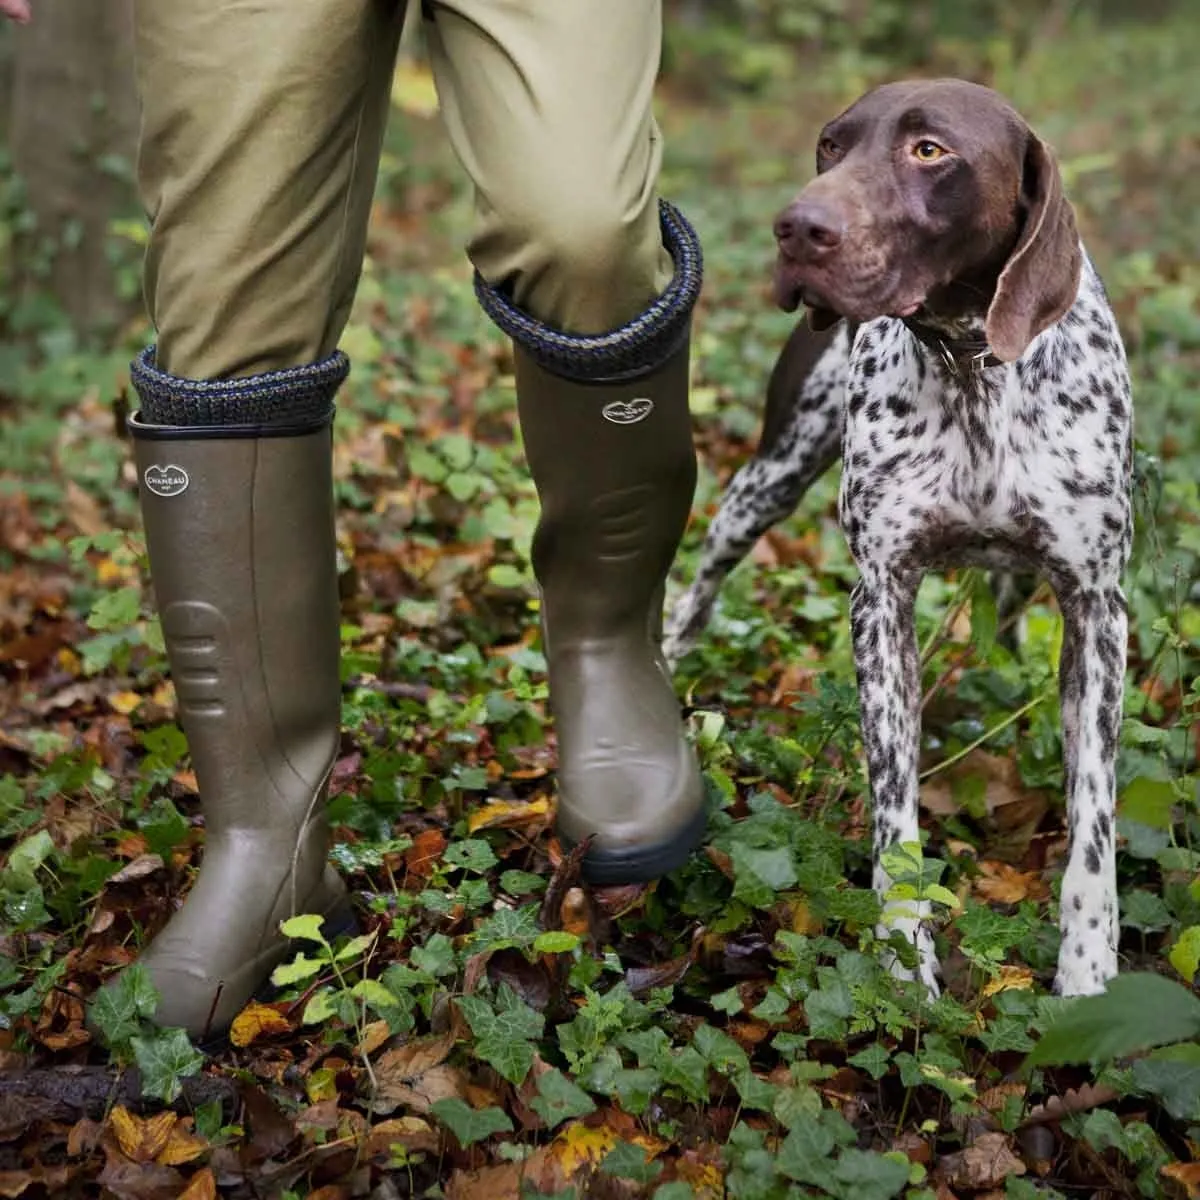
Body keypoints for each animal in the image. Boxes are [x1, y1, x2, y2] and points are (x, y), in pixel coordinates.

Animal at [672, 79, 1128, 998]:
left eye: (929, 151)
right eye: (830, 144)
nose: (797, 228)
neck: (973, 364)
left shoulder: (1099, 608)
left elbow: (1093, 819)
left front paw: (1088, 973)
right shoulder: (881, 601)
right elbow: (895, 816)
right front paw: (901, 958)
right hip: (767, 481)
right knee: (697, 585)